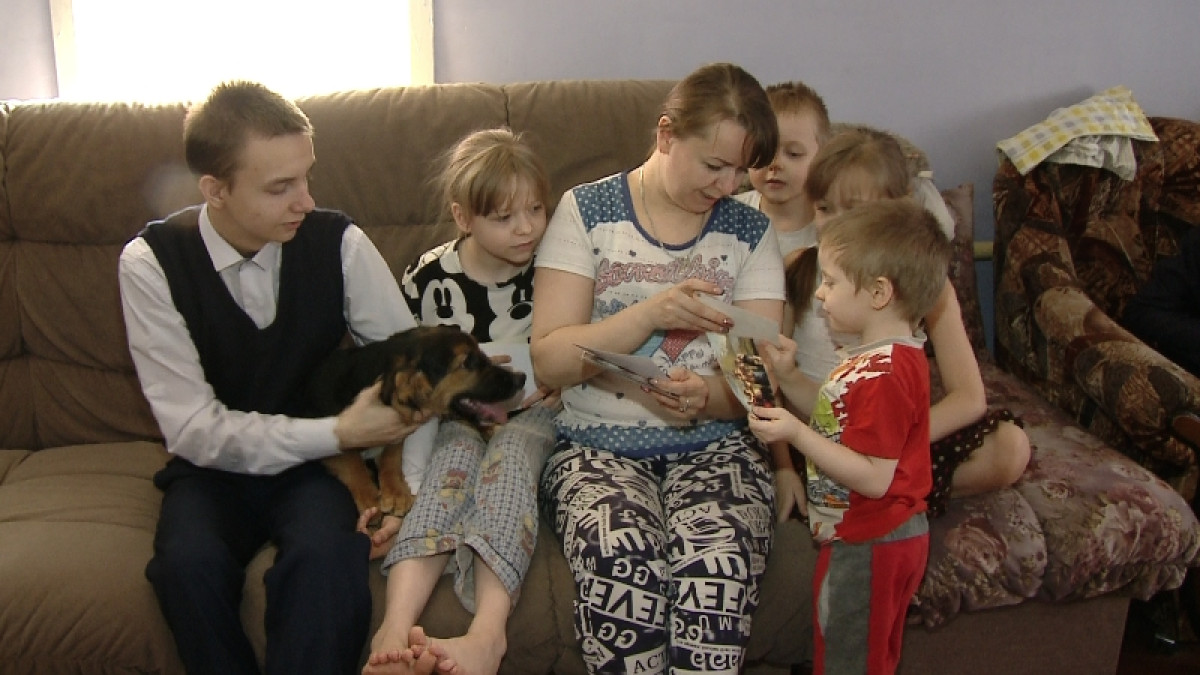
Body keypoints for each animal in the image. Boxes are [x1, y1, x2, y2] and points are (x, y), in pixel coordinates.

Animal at [306, 325, 527, 519]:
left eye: (480, 352)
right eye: (467, 362)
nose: (522, 378)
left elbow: (391, 454)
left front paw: (395, 492)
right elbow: (351, 461)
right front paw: (370, 500)